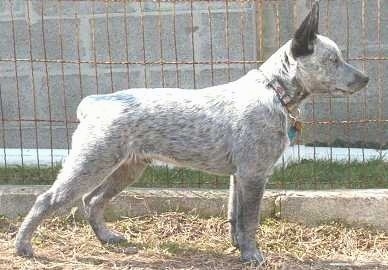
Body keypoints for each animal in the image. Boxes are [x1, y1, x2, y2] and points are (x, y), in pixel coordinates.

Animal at [14, 1, 366, 264]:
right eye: (333, 59)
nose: (366, 79)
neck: (274, 92)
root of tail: (96, 102)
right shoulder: (254, 175)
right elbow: (250, 220)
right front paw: (252, 255)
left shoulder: (238, 177)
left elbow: (235, 217)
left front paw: (238, 248)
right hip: (90, 164)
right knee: (47, 200)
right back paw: (23, 247)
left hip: (128, 168)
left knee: (93, 200)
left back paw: (107, 238)